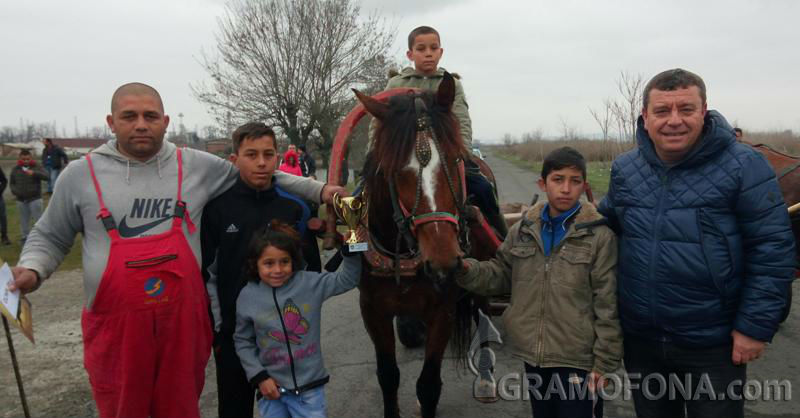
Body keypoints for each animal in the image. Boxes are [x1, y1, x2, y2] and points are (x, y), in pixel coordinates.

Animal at [356, 73, 482, 416]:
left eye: (456, 159)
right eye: (394, 171)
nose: (443, 263)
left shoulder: (444, 309)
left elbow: (428, 385)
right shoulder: (372, 310)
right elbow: (388, 376)